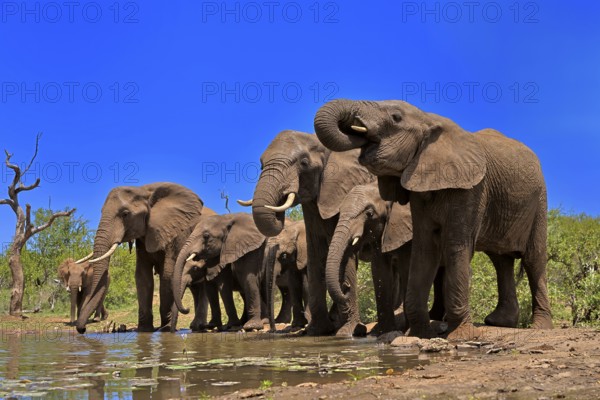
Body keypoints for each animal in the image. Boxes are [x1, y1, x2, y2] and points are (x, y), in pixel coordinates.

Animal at [75, 183, 209, 332]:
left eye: (125, 214)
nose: (82, 329)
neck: (143, 189)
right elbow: (142, 276)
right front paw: (145, 330)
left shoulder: (177, 232)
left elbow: (168, 274)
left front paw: (165, 329)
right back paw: (198, 327)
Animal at [240, 130, 376, 336]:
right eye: (262, 164)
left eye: (304, 163)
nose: (272, 330)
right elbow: (316, 253)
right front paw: (316, 330)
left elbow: (343, 254)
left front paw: (348, 331)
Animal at [314, 98, 552, 340]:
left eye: (396, 117)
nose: (346, 290)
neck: (429, 119)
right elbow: (424, 247)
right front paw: (419, 333)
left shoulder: (472, 189)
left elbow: (456, 245)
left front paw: (460, 335)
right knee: (500, 259)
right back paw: (499, 322)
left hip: (539, 201)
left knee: (533, 259)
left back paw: (539, 326)